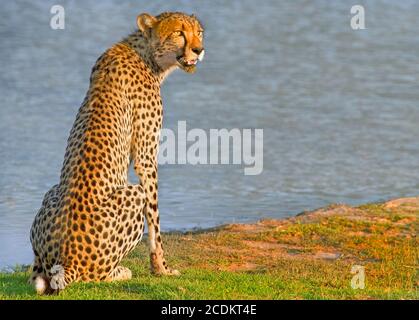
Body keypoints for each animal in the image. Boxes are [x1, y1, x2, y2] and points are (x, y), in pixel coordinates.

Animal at [28, 11, 206, 294]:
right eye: (179, 32)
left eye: (198, 32)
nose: (199, 50)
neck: (145, 53)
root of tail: (67, 261)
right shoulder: (146, 157)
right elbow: (155, 222)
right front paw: (162, 269)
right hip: (134, 194)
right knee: (96, 276)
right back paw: (120, 272)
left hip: (51, 194)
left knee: (37, 274)